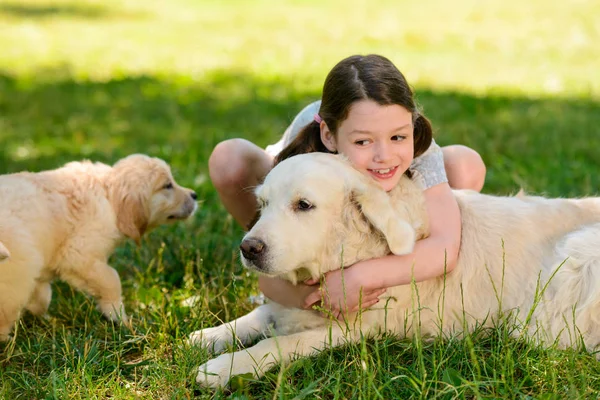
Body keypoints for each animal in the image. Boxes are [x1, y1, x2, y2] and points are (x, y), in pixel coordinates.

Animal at [0, 155, 197, 340]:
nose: (194, 195)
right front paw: (119, 316)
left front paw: (40, 313)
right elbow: (112, 279)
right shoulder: (78, 256)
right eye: (167, 186)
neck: (108, 195)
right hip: (17, 273)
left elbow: (42, 294)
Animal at [190, 152, 600, 388]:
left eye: (303, 205)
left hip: (575, 259)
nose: (248, 248)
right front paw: (208, 336)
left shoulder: (356, 328)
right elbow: (257, 317)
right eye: (263, 204)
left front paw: (222, 368)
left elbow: (279, 343)